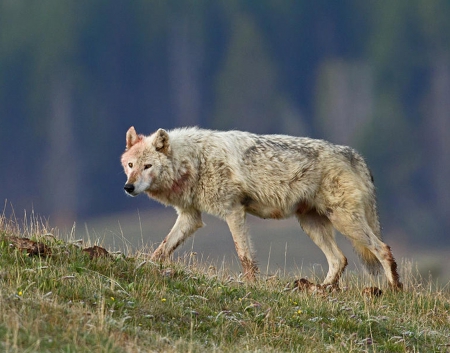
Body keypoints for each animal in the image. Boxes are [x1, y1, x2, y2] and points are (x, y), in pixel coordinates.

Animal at [121, 126, 402, 288]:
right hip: (311, 225)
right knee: (339, 259)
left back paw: (394, 290)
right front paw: (146, 266)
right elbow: (161, 249)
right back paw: (322, 291)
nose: (128, 187)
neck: (194, 161)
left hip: (345, 222)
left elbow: (244, 256)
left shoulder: (233, 211)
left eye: (147, 166)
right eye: (131, 165)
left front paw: (249, 284)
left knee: (383, 249)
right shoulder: (190, 217)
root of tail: (353, 154)